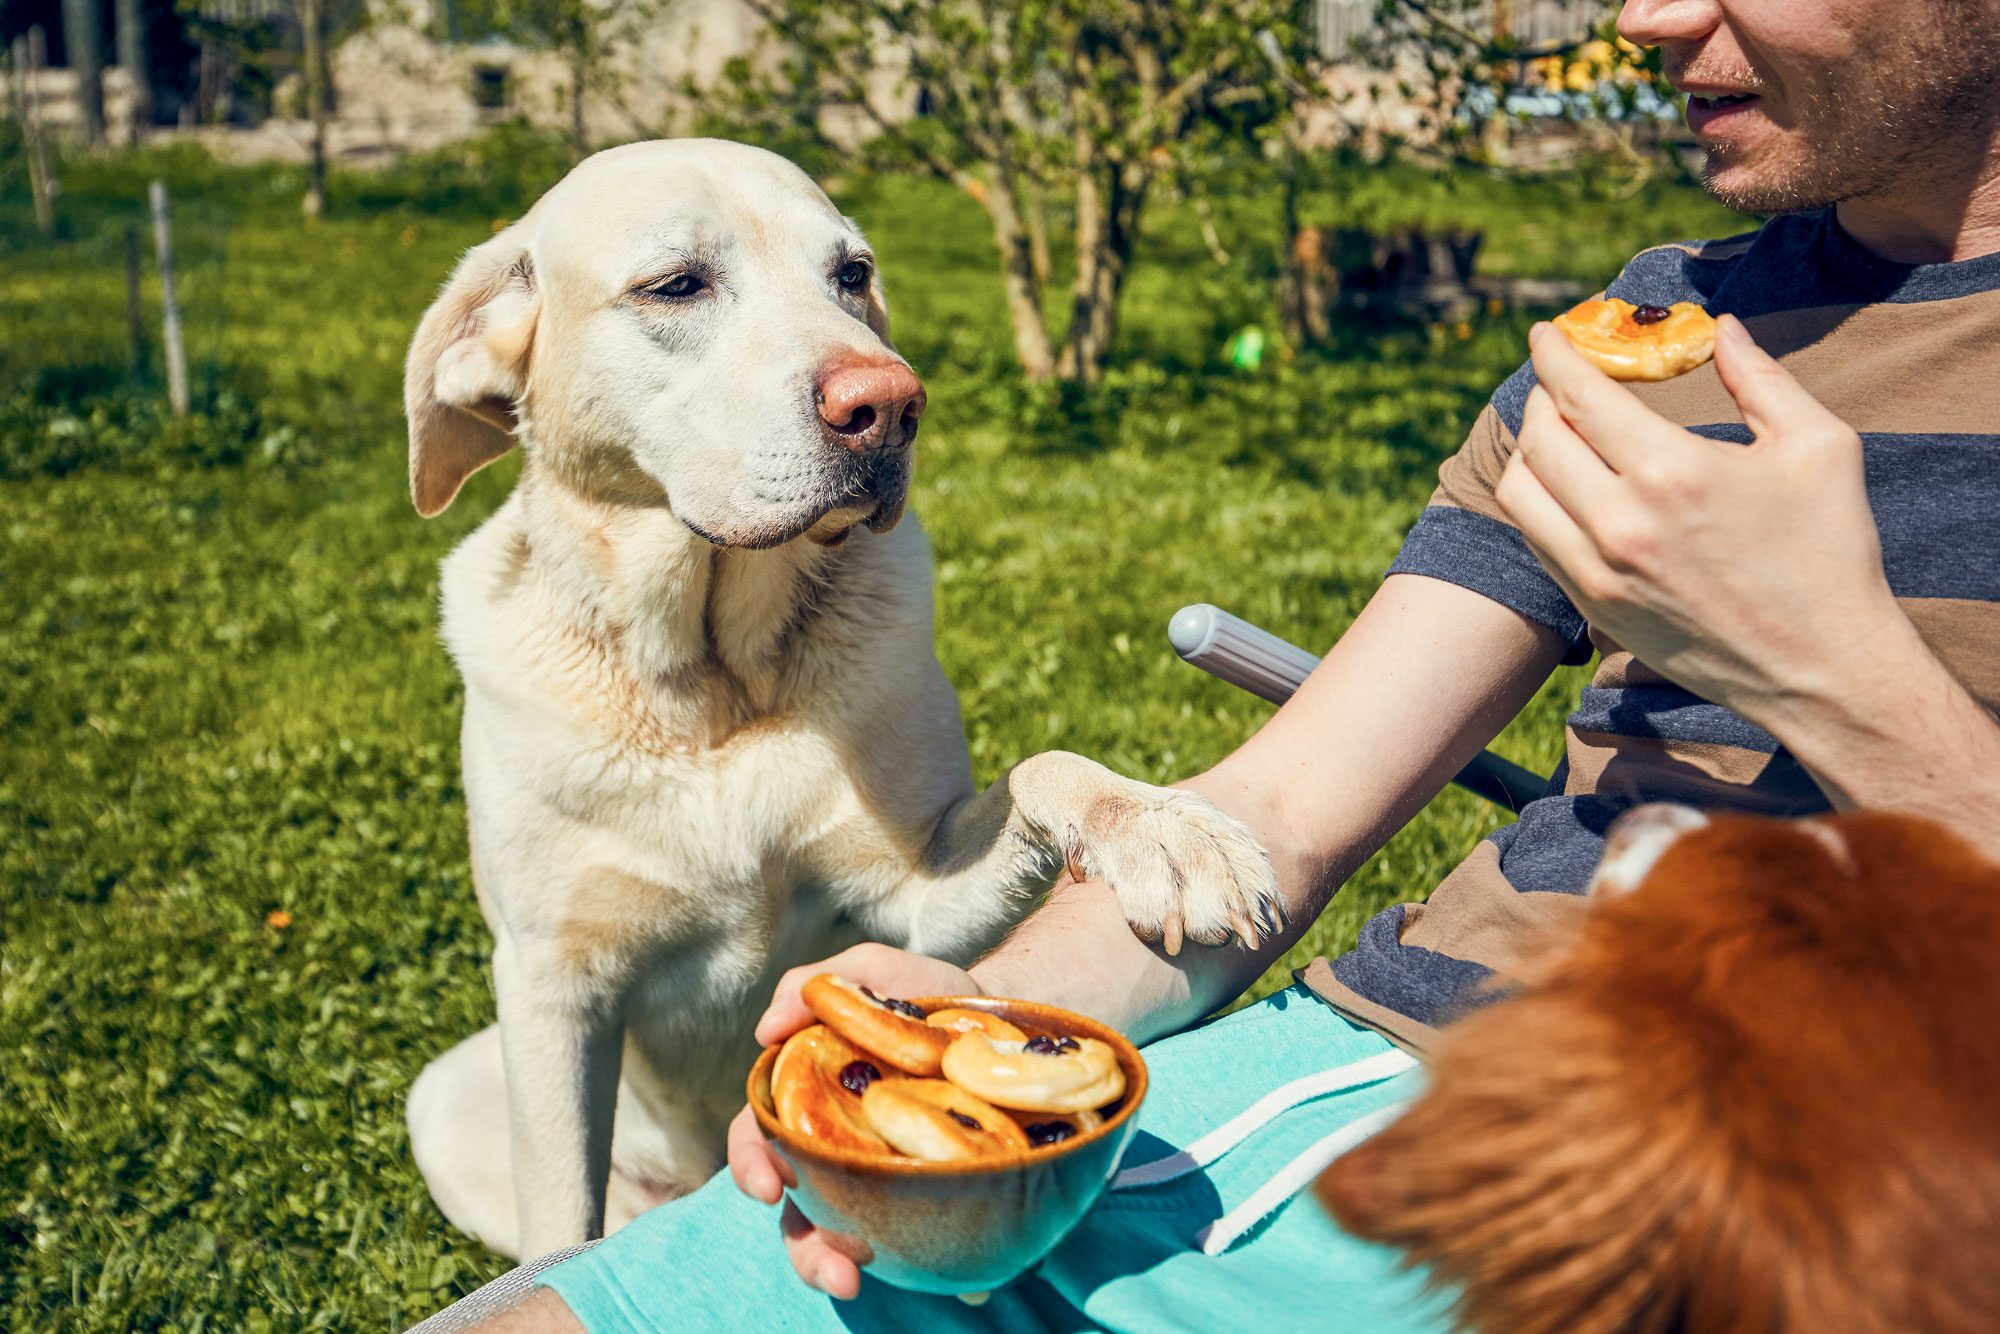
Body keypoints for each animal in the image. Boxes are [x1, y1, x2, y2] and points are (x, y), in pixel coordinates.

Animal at [406, 141, 1280, 1272]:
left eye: (851, 274)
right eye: (675, 285)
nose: (892, 404)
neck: (711, 681)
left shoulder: (913, 903)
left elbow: (1044, 768)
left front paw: (1167, 829)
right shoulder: (554, 988)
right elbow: (564, 1220)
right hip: (446, 1094)